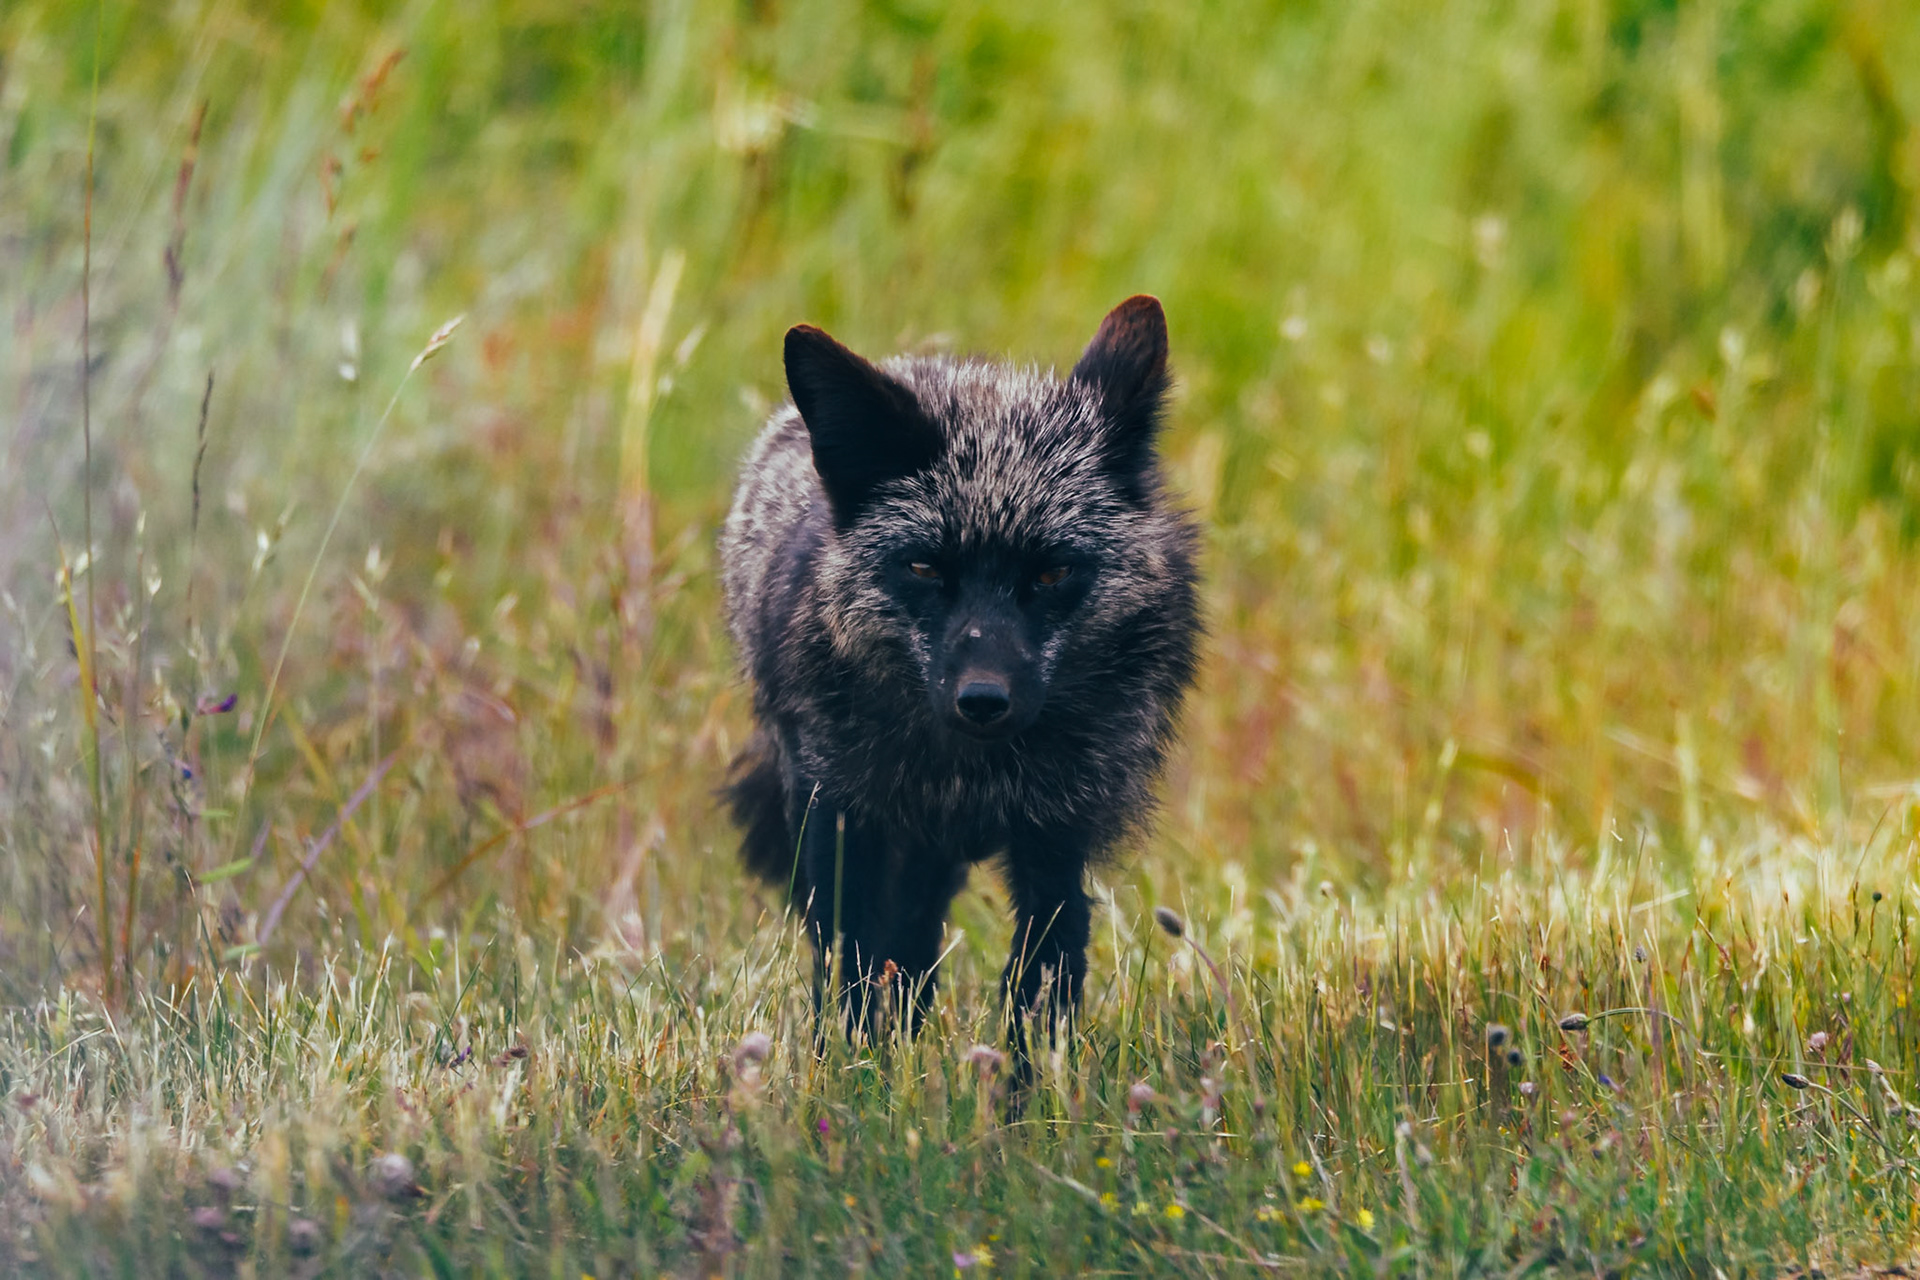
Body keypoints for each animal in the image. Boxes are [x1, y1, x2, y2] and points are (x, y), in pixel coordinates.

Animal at [720, 295, 1201, 1058]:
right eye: (923, 567)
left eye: (1053, 572)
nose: (982, 700)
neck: (969, 781)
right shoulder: (841, 817)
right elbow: (853, 965)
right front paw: (856, 1076)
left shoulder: (1055, 838)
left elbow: (1040, 983)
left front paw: (1025, 1090)